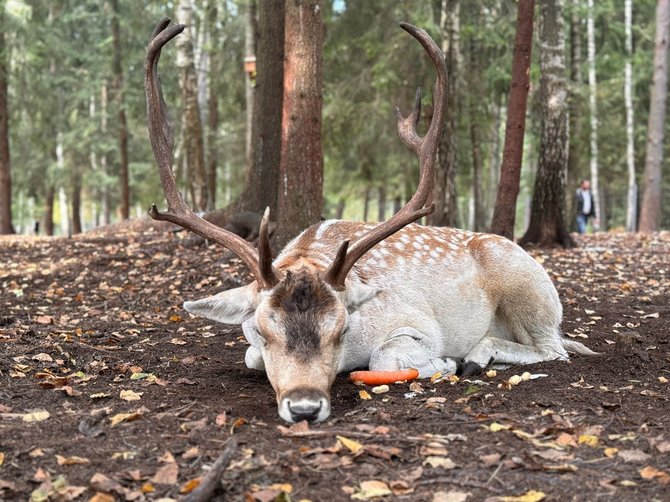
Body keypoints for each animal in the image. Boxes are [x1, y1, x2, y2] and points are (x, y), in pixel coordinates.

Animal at [146, 18, 600, 424]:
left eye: (342, 330)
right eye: (262, 330)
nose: (305, 407)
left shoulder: (417, 324)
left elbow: (385, 355)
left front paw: (445, 363)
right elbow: (250, 357)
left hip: (527, 288)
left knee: (555, 348)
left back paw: (477, 355)